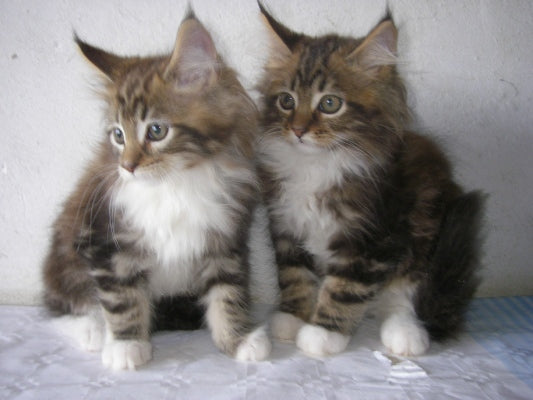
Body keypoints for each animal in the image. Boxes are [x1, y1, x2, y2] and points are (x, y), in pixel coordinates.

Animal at [42, 14, 270, 370]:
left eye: (157, 131)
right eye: (118, 135)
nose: (127, 166)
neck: (176, 183)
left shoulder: (225, 240)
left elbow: (228, 292)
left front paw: (238, 339)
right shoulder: (107, 239)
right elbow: (121, 297)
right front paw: (127, 345)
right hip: (65, 255)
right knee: (60, 305)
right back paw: (93, 329)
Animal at [256, 6, 484, 356]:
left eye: (330, 103)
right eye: (286, 101)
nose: (297, 130)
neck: (318, 164)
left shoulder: (375, 238)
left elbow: (345, 287)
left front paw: (323, 332)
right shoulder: (286, 225)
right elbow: (293, 273)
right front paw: (293, 316)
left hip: (429, 224)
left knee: (405, 291)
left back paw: (405, 332)